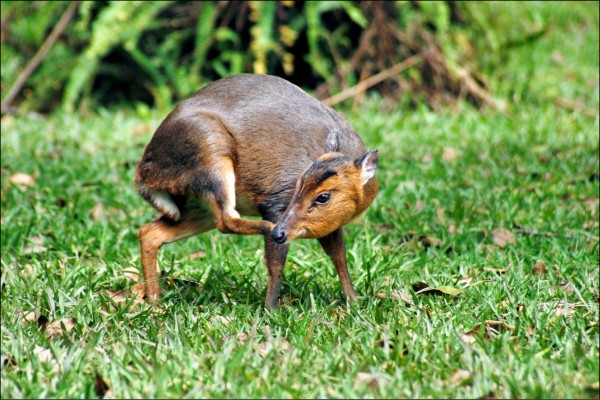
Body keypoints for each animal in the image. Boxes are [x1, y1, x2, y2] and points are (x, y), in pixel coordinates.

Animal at [137, 73, 380, 308]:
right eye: (298, 183)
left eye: (323, 197)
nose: (280, 231)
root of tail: (143, 175)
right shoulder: (276, 201)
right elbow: (276, 264)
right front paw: (270, 310)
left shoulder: (332, 223)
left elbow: (339, 257)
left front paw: (354, 302)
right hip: (211, 154)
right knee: (225, 221)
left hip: (198, 206)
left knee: (150, 232)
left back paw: (155, 305)